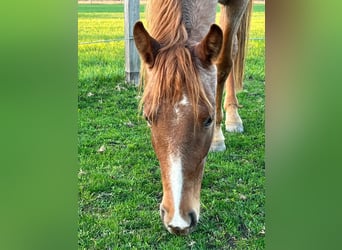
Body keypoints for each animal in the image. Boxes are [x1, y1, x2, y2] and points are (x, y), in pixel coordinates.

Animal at [133, 0, 251, 234]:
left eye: (208, 119)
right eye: (148, 118)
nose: (178, 221)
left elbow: (224, 62)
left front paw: (217, 137)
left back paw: (233, 116)